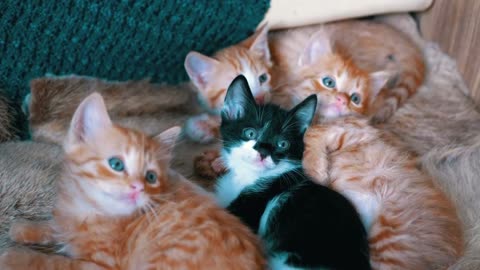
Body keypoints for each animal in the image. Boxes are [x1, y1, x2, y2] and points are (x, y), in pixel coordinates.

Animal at [0, 93, 266, 270]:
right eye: (117, 164)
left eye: (150, 176)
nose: (137, 188)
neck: (89, 210)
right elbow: (57, 226)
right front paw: (25, 228)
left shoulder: (99, 266)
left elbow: (53, 263)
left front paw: (14, 257)